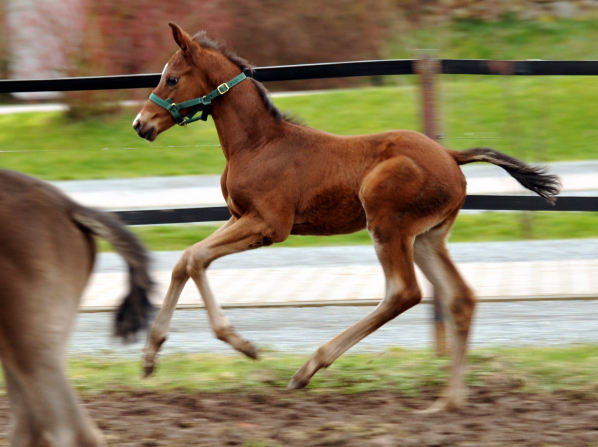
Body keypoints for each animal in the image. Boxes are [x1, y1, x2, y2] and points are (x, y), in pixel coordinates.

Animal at [132, 21, 564, 412]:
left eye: (172, 78)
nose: (141, 124)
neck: (257, 144)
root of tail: (450, 155)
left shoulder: (270, 224)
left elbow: (194, 258)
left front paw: (243, 344)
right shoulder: (239, 217)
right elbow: (185, 259)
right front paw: (150, 355)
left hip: (387, 222)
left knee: (404, 292)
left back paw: (309, 367)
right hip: (427, 236)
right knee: (460, 297)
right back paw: (448, 401)